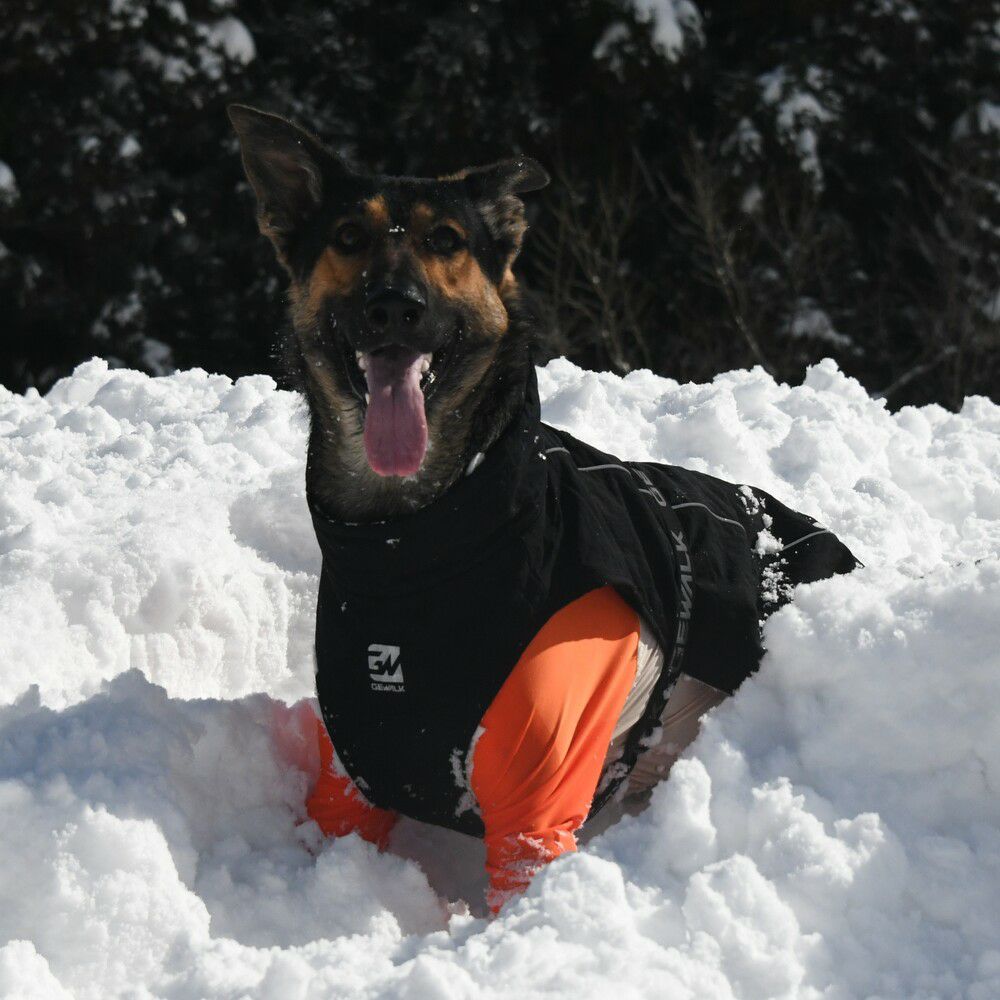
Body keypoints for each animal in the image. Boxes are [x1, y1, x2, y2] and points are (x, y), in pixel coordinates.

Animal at [229, 105, 859, 912]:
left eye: (446, 241)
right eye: (346, 238)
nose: (393, 306)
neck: (410, 547)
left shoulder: (537, 801)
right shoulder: (351, 773)